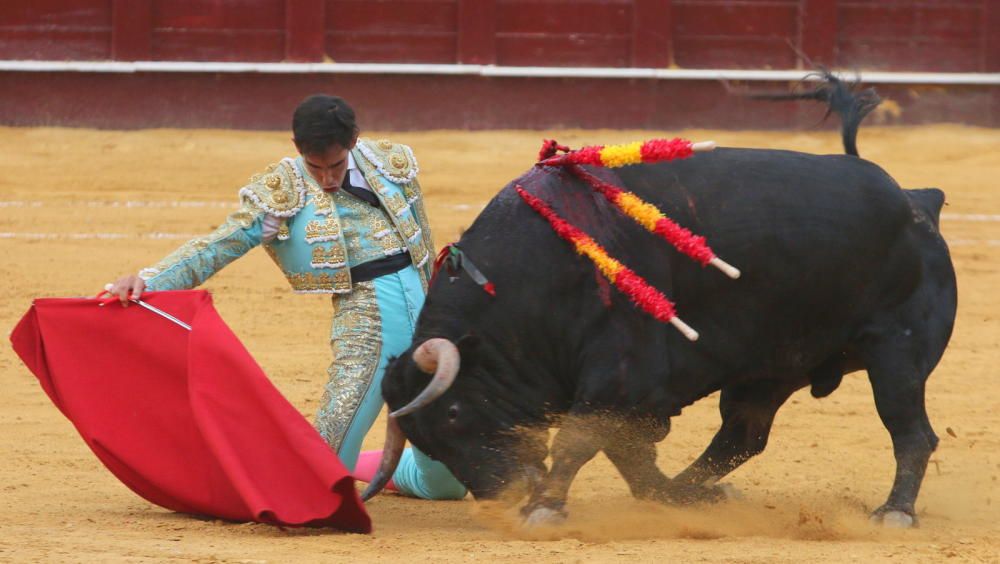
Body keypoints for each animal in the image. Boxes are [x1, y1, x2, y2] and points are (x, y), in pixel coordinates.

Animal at [366, 76, 952, 528]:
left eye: (455, 412)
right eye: (428, 441)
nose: (501, 497)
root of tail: (916, 202)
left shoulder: (620, 370)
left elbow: (581, 438)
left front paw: (546, 508)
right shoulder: (630, 391)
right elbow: (626, 454)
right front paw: (660, 496)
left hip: (896, 354)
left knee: (911, 432)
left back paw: (895, 512)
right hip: (771, 366)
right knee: (742, 434)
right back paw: (696, 492)